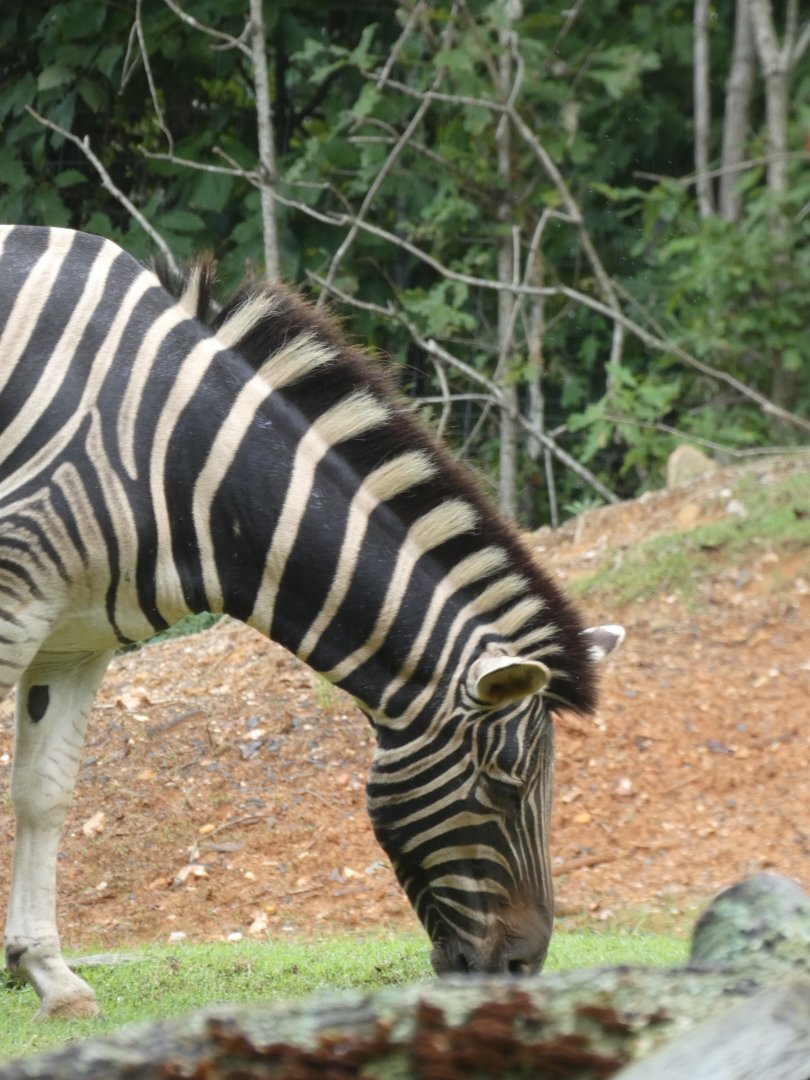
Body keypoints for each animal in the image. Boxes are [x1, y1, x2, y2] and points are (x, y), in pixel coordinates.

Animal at [0, 225, 623, 1019]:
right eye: (506, 784)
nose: (523, 968)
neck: (179, 462)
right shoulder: (14, 600)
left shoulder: (76, 641)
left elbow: (43, 793)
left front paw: (51, 976)